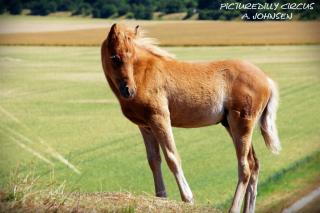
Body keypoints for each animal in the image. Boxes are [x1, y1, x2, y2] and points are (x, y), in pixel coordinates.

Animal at [100, 23, 280, 213]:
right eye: (115, 58)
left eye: (132, 56)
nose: (129, 90)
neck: (144, 73)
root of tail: (267, 80)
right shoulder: (145, 126)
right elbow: (154, 160)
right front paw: (161, 198)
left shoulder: (160, 118)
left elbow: (172, 157)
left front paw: (188, 199)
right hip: (231, 125)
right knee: (254, 165)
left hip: (241, 123)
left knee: (245, 167)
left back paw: (233, 208)